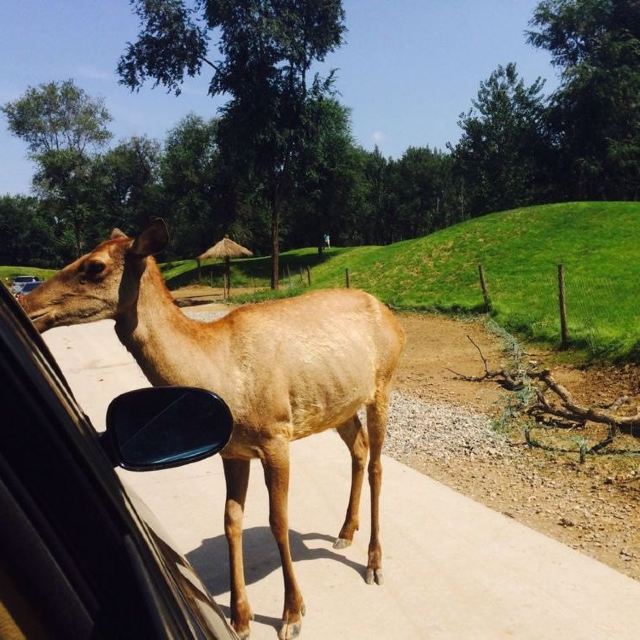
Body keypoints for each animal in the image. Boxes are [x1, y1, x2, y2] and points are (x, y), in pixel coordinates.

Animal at [25, 221, 408, 640]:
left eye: (94, 265)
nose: (26, 303)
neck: (221, 375)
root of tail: (392, 317)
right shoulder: (231, 449)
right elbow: (230, 521)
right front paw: (241, 618)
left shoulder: (275, 434)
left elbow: (278, 521)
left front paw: (292, 613)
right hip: (338, 405)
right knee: (358, 449)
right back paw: (344, 532)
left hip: (383, 383)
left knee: (376, 465)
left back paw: (373, 562)